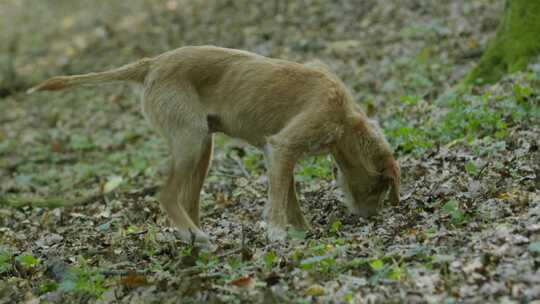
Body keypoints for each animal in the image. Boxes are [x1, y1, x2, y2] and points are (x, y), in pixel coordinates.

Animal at [29, 45, 400, 245]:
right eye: (380, 188)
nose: (370, 219)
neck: (345, 117)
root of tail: (153, 63)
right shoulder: (282, 146)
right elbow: (280, 200)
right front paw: (277, 234)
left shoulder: (279, 155)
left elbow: (289, 196)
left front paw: (302, 232)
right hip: (192, 139)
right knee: (167, 195)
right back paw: (196, 236)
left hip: (203, 146)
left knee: (188, 201)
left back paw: (194, 236)